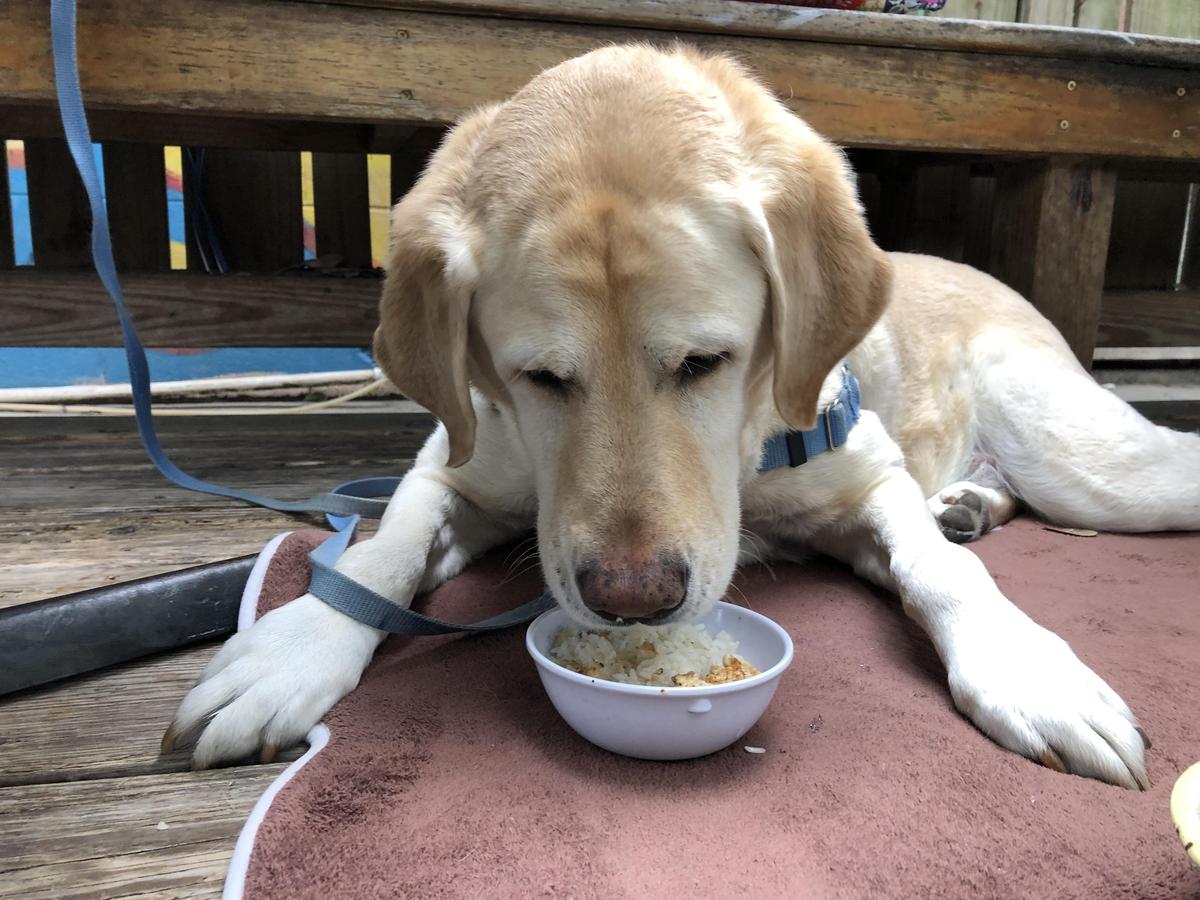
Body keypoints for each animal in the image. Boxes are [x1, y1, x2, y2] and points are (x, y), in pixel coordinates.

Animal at [169, 44, 1200, 787]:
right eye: (540, 377)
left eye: (707, 362)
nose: (634, 599)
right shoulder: (455, 465)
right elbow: (382, 552)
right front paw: (294, 649)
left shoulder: (872, 479)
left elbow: (940, 573)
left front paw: (1024, 666)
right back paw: (972, 504)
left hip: (1092, 466)